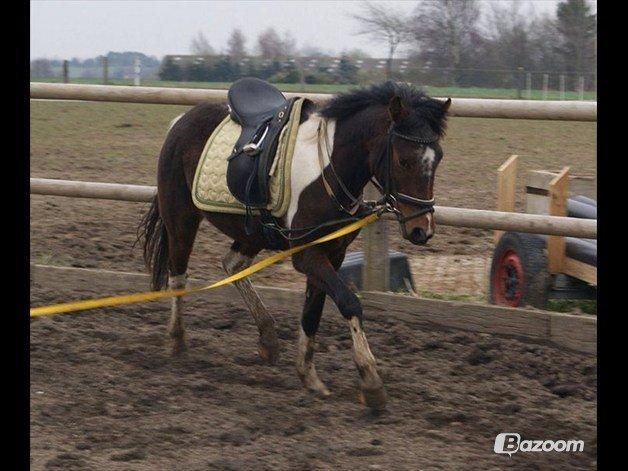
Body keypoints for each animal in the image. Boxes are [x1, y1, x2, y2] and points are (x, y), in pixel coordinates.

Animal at [139, 81, 448, 410]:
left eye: (438, 158)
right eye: (404, 159)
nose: (421, 229)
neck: (330, 169)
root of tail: (181, 120)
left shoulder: (333, 254)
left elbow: (312, 313)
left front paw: (308, 376)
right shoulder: (306, 254)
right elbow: (349, 302)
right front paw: (371, 381)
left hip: (253, 233)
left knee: (232, 265)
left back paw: (268, 338)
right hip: (181, 219)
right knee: (178, 275)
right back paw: (177, 340)